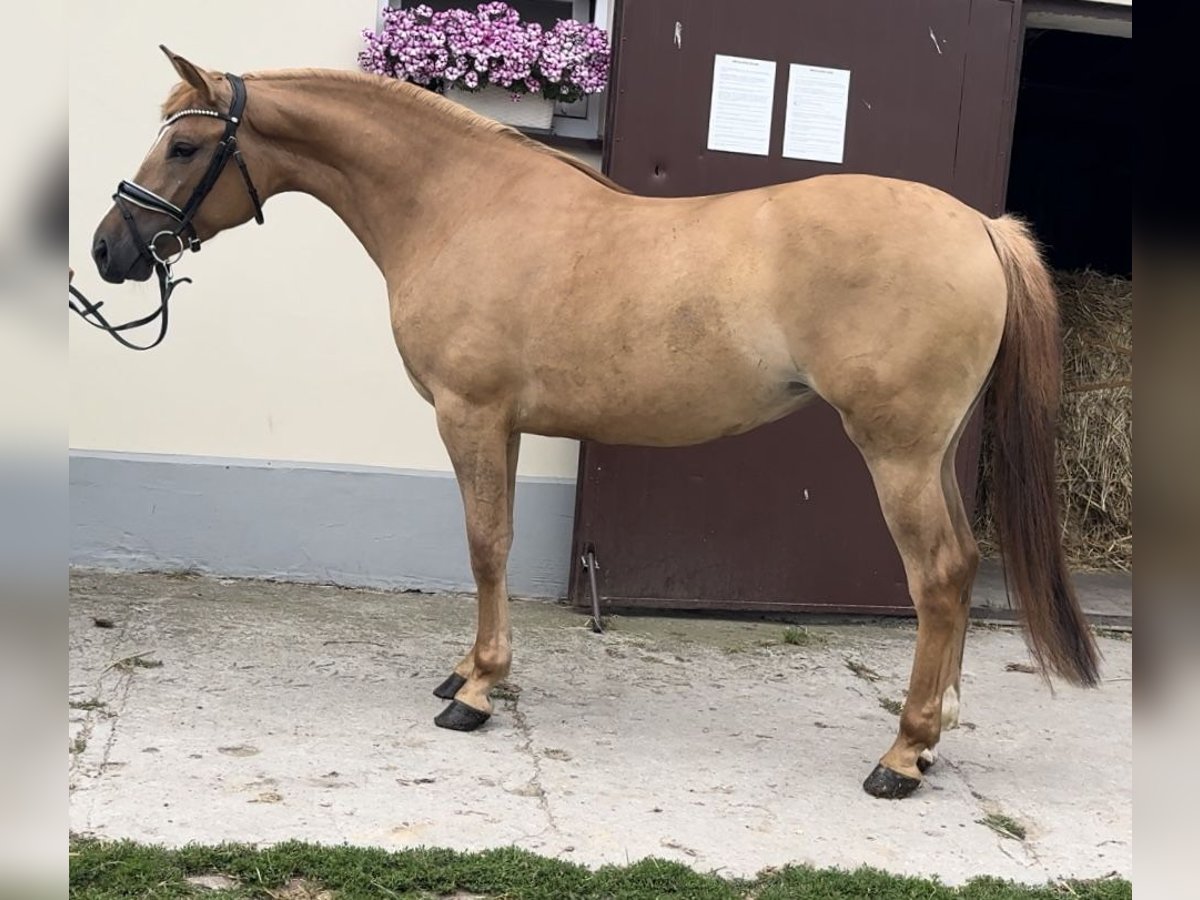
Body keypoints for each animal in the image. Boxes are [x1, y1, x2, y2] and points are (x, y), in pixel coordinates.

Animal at [84, 47, 1099, 801]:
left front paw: (478, 692)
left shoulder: (471, 415)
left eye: (185, 148)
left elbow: (484, 545)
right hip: (931, 451)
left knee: (939, 575)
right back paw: (935, 735)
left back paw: (902, 754)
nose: (107, 250)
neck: (460, 204)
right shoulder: (504, 424)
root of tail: (979, 225)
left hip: (896, 451)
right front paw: (469, 669)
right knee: (961, 564)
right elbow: (492, 544)